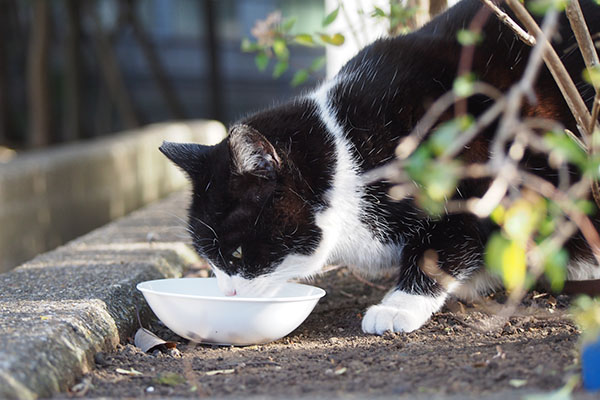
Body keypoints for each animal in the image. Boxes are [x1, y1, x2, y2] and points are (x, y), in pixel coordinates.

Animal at [159, 0, 600, 336]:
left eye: (235, 254)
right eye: (208, 257)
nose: (227, 294)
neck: (349, 156)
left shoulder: (478, 177)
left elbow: (442, 243)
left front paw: (401, 305)